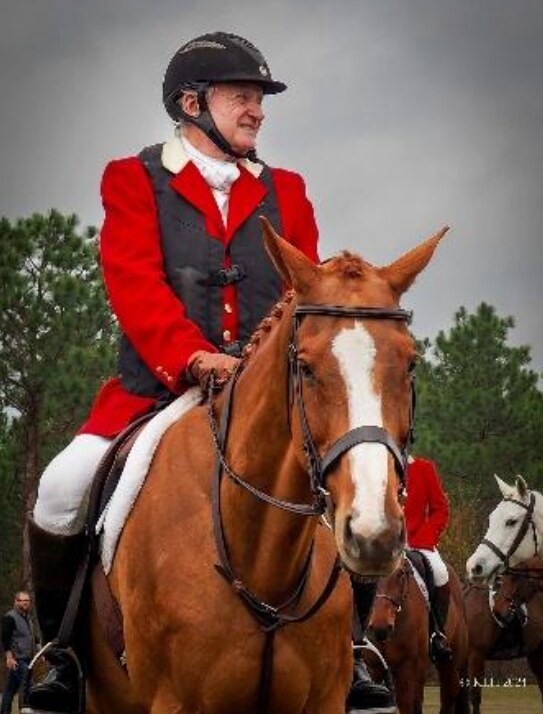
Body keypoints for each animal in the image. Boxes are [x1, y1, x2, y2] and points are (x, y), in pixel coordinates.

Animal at [86, 219, 448, 714]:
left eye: (409, 364)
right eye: (306, 368)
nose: (374, 534)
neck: (262, 564)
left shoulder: (325, 700)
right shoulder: (174, 702)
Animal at [366, 553, 469, 714]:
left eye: (400, 573)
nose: (380, 628)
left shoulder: (407, 667)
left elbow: (407, 706)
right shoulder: (373, 668)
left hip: (449, 665)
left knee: (447, 700)